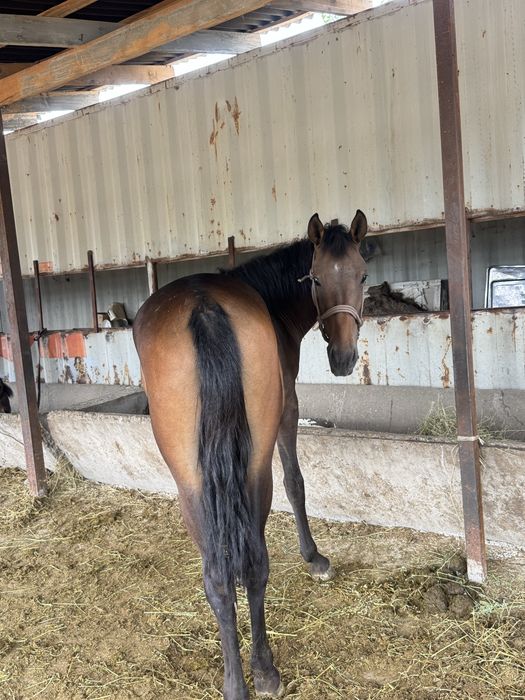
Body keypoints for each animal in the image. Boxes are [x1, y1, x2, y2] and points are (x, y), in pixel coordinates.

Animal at [133, 210, 368, 700]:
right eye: (317, 279)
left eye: (362, 276)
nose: (343, 358)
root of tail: (203, 307)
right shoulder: (289, 408)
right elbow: (297, 483)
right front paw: (314, 558)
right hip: (250, 469)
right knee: (247, 565)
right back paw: (256, 673)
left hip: (197, 484)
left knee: (226, 577)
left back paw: (247, 677)